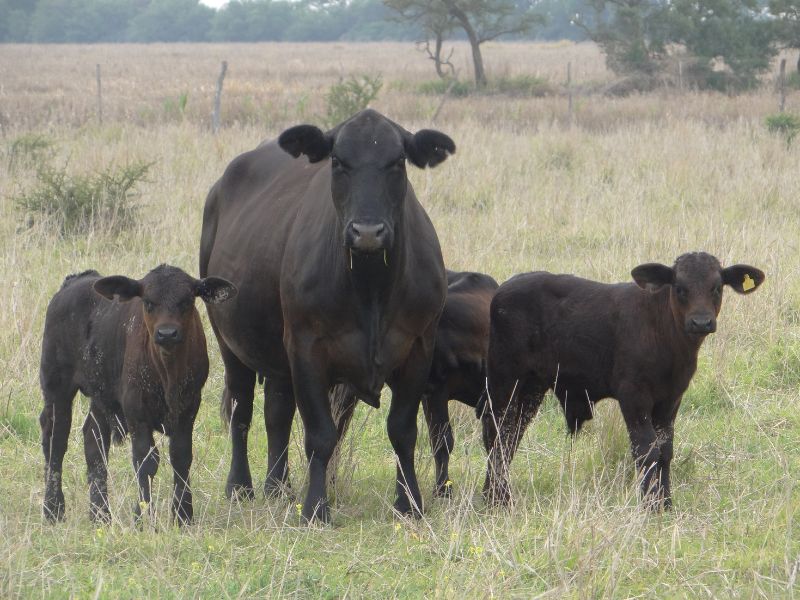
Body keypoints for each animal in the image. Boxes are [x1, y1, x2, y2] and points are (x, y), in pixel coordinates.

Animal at [39, 265, 237, 524]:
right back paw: (53, 509)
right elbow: (146, 460)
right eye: (148, 302)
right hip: (56, 386)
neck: (167, 374)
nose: (167, 333)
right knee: (55, 439)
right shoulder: (136, 412)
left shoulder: (188, 409)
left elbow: (181, 456)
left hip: (102, 394)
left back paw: (100, 513)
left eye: (186, 301)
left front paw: (183, 515)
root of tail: (74, 281)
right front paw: (143, 516)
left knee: (94, 439)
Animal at [199, 109, 454, 522]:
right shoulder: (306, 347)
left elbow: (403, 430)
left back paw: (278, 486)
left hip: (277, 355)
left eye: (398, 161)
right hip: (229, 341)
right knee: (242, 410)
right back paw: (240, 486)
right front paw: (316, 507)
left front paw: (409, 502)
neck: (371, 288)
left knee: (276, 412)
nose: (367, 232)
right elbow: (320, 434)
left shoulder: (419, 347)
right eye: (338, 161)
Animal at [480, 252, 764, 509]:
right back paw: (497, 499)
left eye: (716, 287)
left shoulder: (671, 399)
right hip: (504, 380)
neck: (667, 340)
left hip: (532, 387)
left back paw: (495, 495)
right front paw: (650, 505)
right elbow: (646, 450)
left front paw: (666, 503)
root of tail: (507, 286)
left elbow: (665, 451)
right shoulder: (633, 395)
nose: (701, 322)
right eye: (680, 288)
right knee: (497, 433)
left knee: (512, 435)